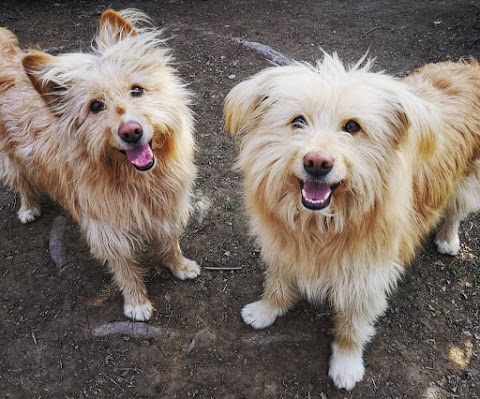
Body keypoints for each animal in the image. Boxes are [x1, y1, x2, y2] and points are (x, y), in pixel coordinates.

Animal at [0, 8, 199, 322]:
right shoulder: (108, 228)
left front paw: (180, 265)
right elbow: (125, 267)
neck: (138, 180)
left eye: (136, 90)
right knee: (22, 183)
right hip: (11, 157)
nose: (131, 131)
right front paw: (136, 302)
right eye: (95, 106)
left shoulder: (168, 206)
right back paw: (29, 208)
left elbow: (170, 241)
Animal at [224, 53, 480, 390]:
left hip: (466, 180)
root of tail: (466, 66)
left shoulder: (366, 278)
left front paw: (346, 364)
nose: (317, 162)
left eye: (353, 127)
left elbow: (352, 327)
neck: (320, 226)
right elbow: (278, 283)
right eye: (298, 121)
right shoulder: (283, 248)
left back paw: (449, 238)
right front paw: (267, 310)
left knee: (455, 210)